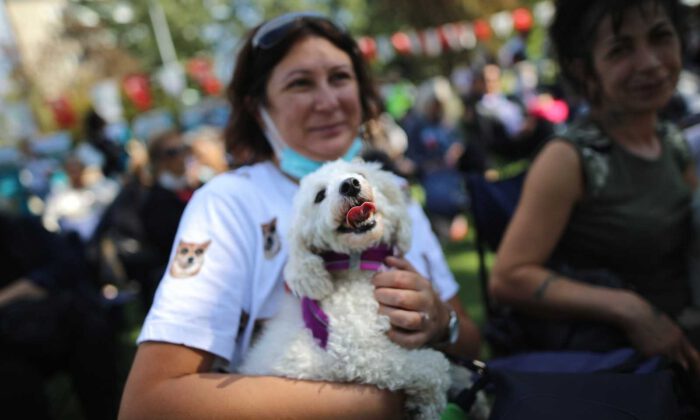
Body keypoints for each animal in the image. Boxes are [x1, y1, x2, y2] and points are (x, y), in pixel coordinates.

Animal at [238, 159, 474, 418]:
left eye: (360, 174)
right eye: (319, 196)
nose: (350, 185)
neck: (358, 264)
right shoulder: (362, 355)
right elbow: (434, 367)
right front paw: (430, 405)